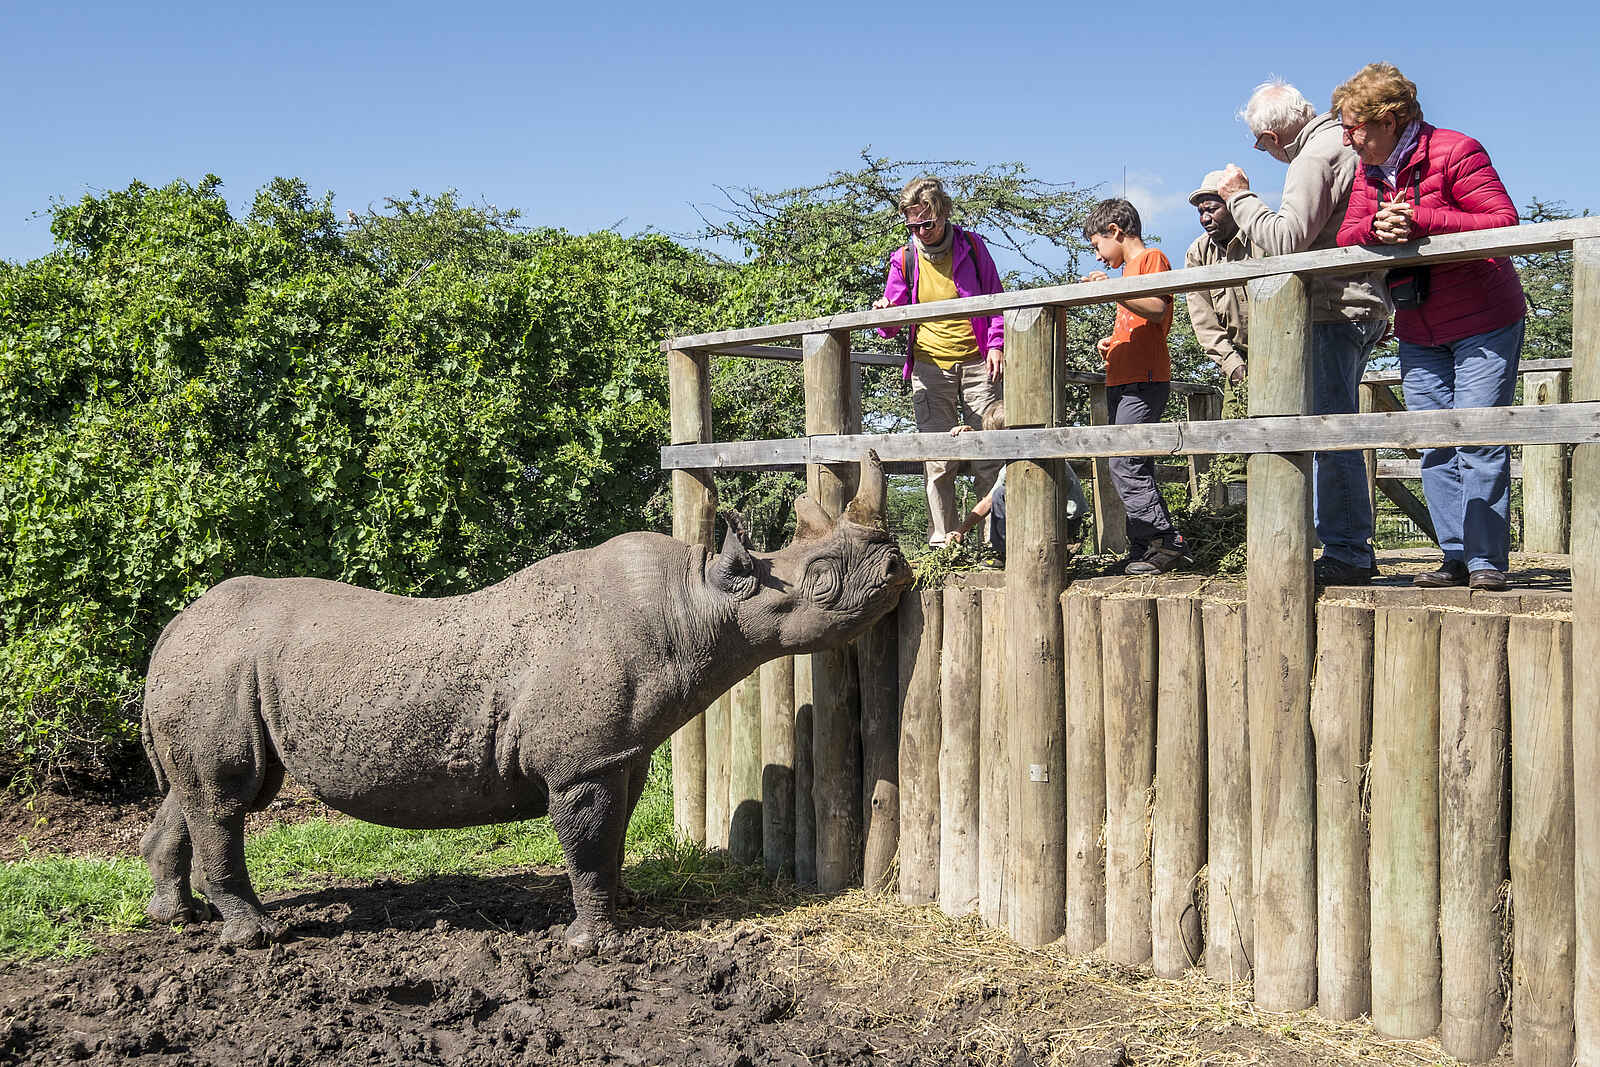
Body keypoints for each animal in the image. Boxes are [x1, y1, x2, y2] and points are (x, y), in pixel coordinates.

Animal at [139, 452, 910, 951]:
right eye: (823, 580)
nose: (898, 565)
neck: (698, 606)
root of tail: (171, 627)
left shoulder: (618, 751)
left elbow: (614, 834)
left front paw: (627, 906)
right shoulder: (580, 762)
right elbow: (588, 841)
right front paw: (591, 944)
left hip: (213, 669)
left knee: (199, 790)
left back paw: (176, 919)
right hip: (215, 666)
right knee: (226, 796)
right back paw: (255, 936)